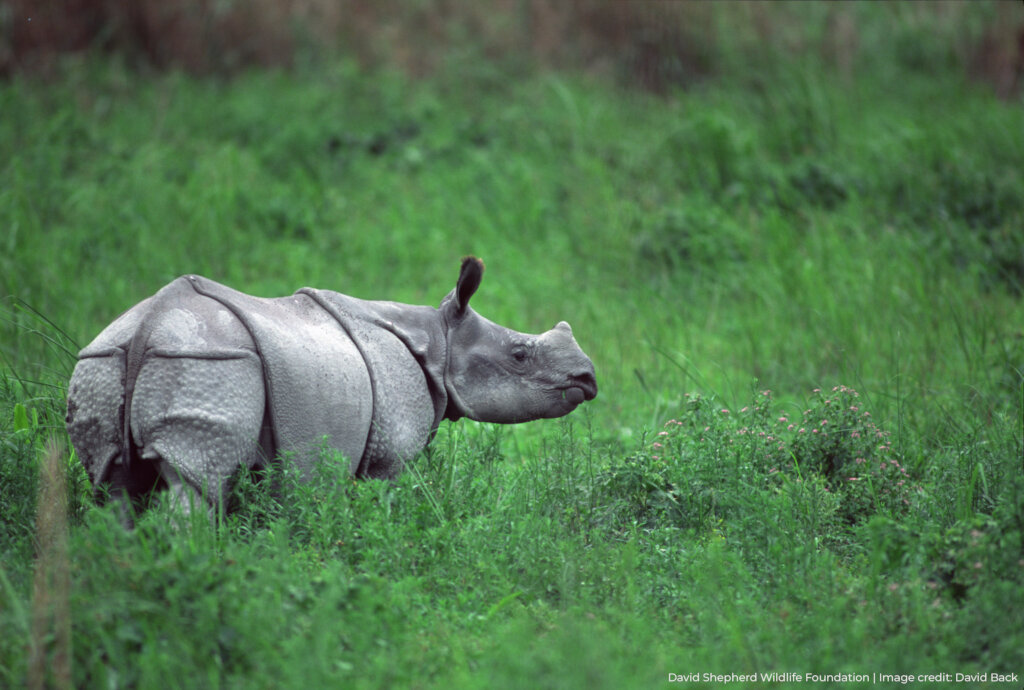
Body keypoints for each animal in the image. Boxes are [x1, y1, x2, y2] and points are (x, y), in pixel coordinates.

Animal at [65, 257, 597, 519]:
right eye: (520, 355)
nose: (588, 378)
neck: (439, 339)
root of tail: (148, 328)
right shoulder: (389, 452)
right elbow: (386, 503)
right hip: (211, 362)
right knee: (195, 482)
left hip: (102, 363)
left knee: (113, 483)